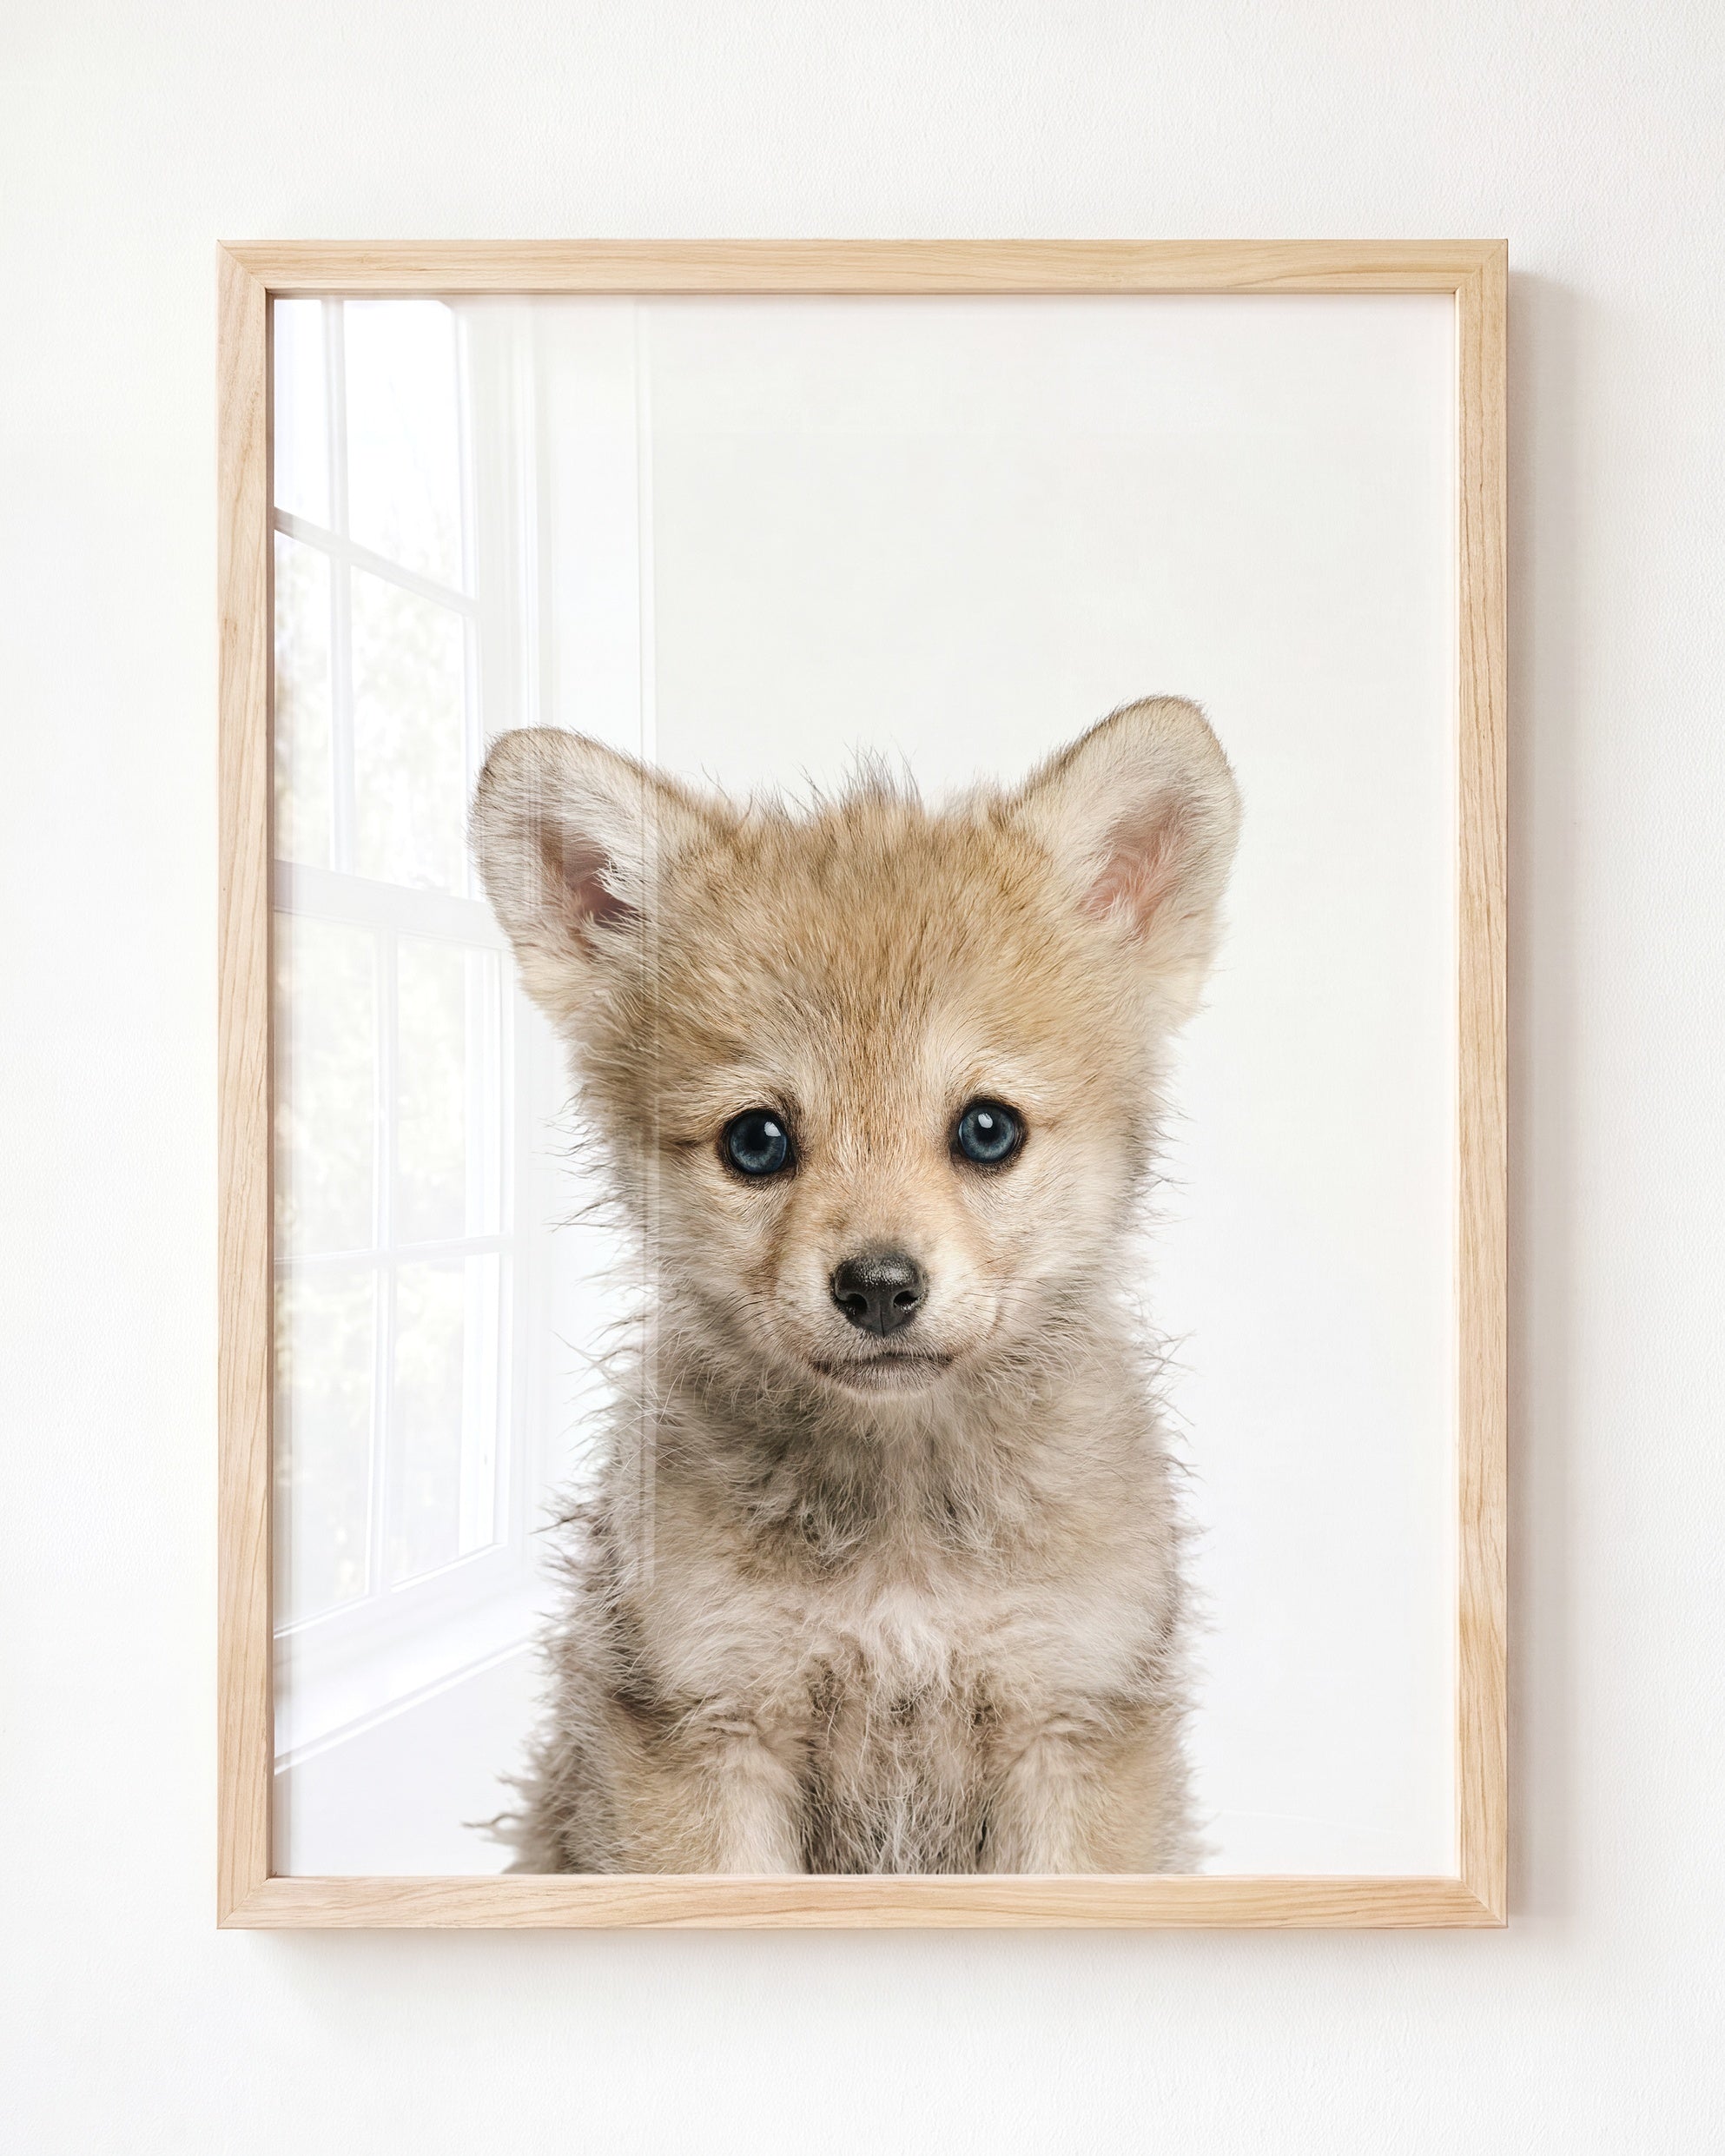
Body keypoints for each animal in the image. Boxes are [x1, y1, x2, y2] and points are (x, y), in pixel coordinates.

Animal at [470, 697, 1240, 1873]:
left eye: (988, 1129)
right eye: (756, 1141)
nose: (879, 1286)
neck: (902, 1537)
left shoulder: (1071, 1721)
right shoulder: (708, 1726)